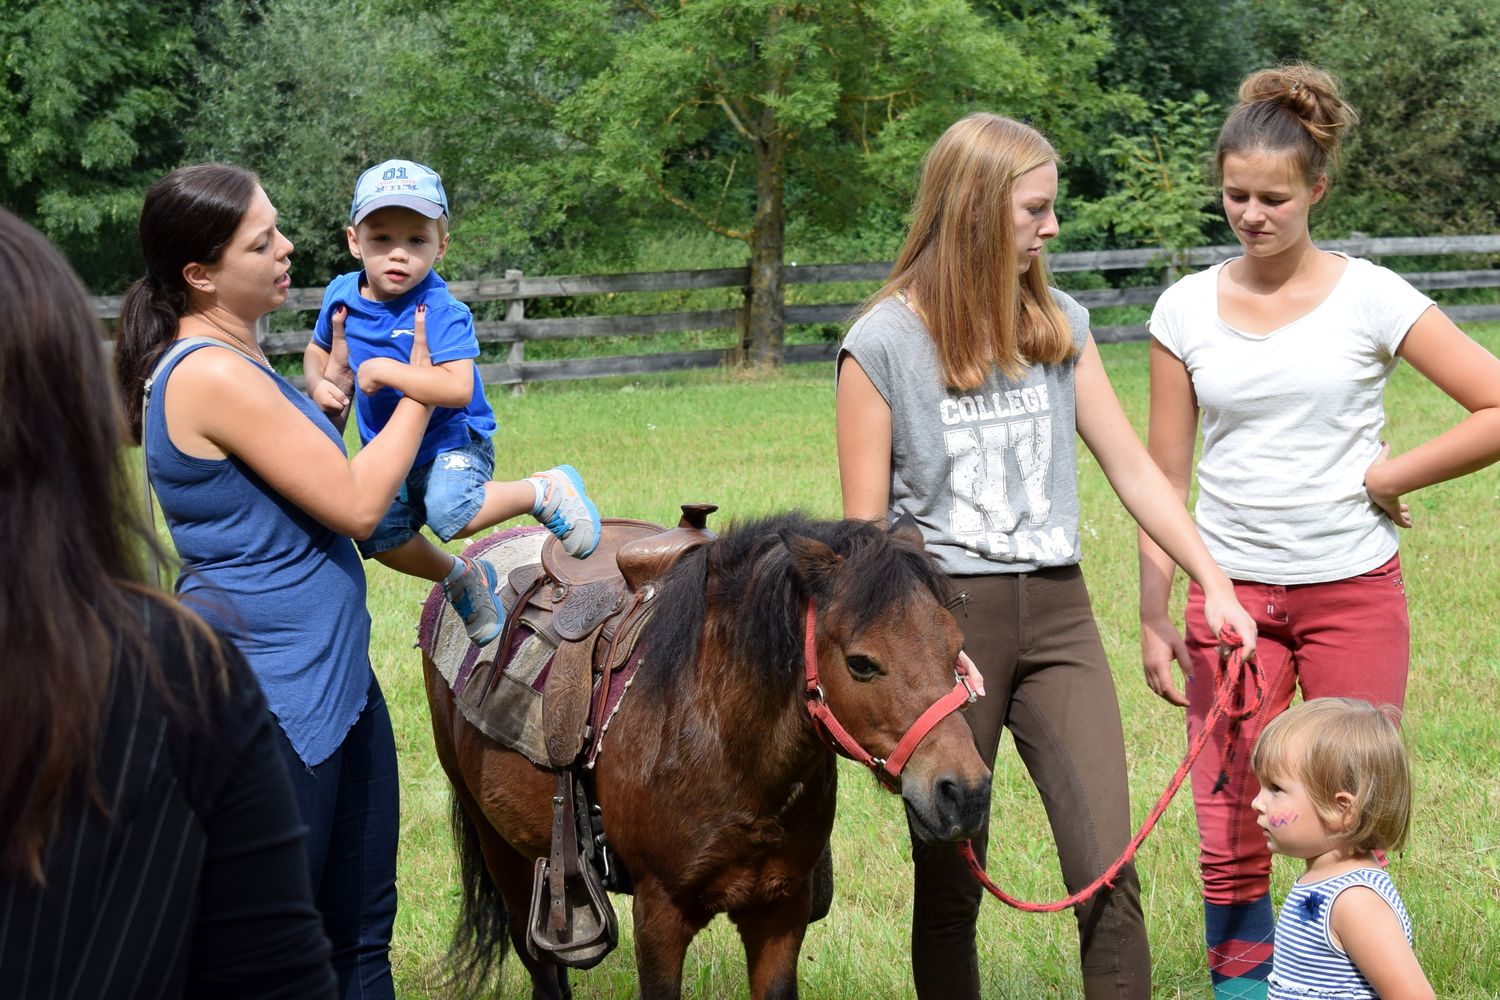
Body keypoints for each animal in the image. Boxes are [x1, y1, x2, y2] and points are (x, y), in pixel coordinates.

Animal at [423, 515, 990, 1000]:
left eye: (956, 648)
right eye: (862, 663)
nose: (964, 793)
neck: (723, 745)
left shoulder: (780, 910)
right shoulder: (659, 915)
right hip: (501, 850)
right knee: (541, 967)